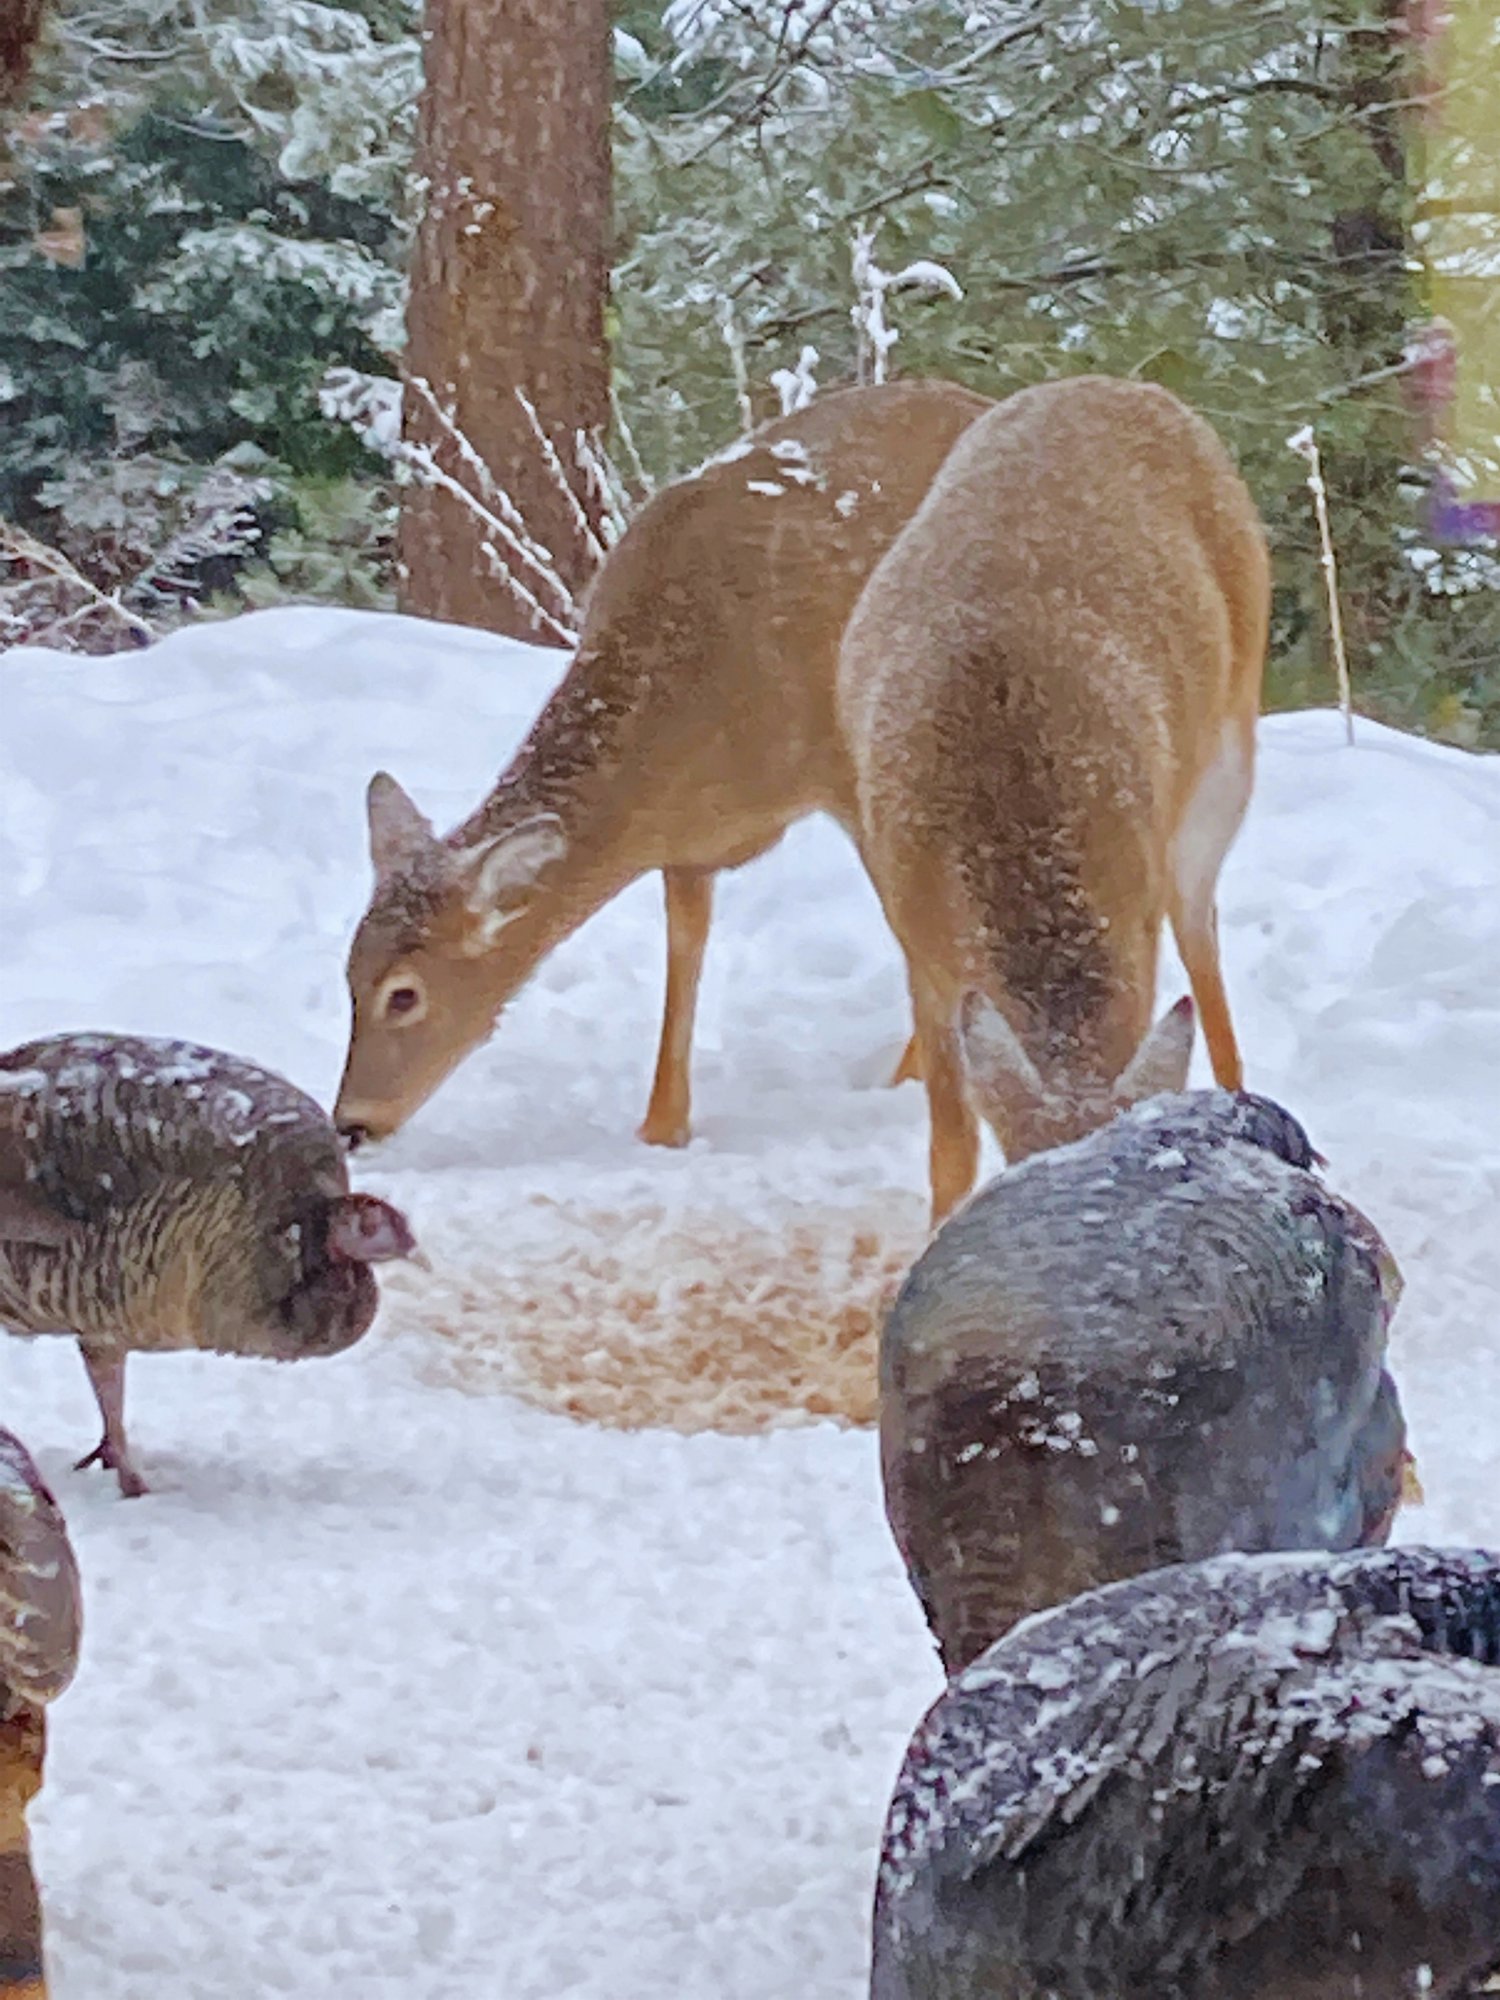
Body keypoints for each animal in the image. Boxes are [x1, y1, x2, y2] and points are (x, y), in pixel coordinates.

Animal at [333, 377, 992, 1150]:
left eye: (404, 994)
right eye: (348, 976)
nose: (350, 1123)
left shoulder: (849, 774)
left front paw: (912, 1078)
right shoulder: (683, 841)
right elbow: (685, 951)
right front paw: (663, 1126)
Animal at [837, 375, 1270, 1225]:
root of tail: (1123, 384)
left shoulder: (1133, 923)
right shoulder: (922, 948)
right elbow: (950, 1145)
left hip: (1225, 758)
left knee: (1202, 931)